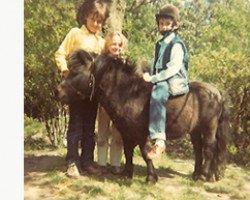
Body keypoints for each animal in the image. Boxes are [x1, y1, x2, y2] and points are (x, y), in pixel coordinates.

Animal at [56, 49, 229, 183]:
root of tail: (217, 92)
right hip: (195, 130)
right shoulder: (126, 132)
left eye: (76, 72)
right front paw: (127, 173)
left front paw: (151, 177)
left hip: (208, 127)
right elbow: (127, 151)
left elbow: (146, 154)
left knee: (209, 148)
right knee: (198, 149)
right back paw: (197, 174)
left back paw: (203, 176)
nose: (57, 92)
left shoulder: (141, 134)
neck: (130, 94)